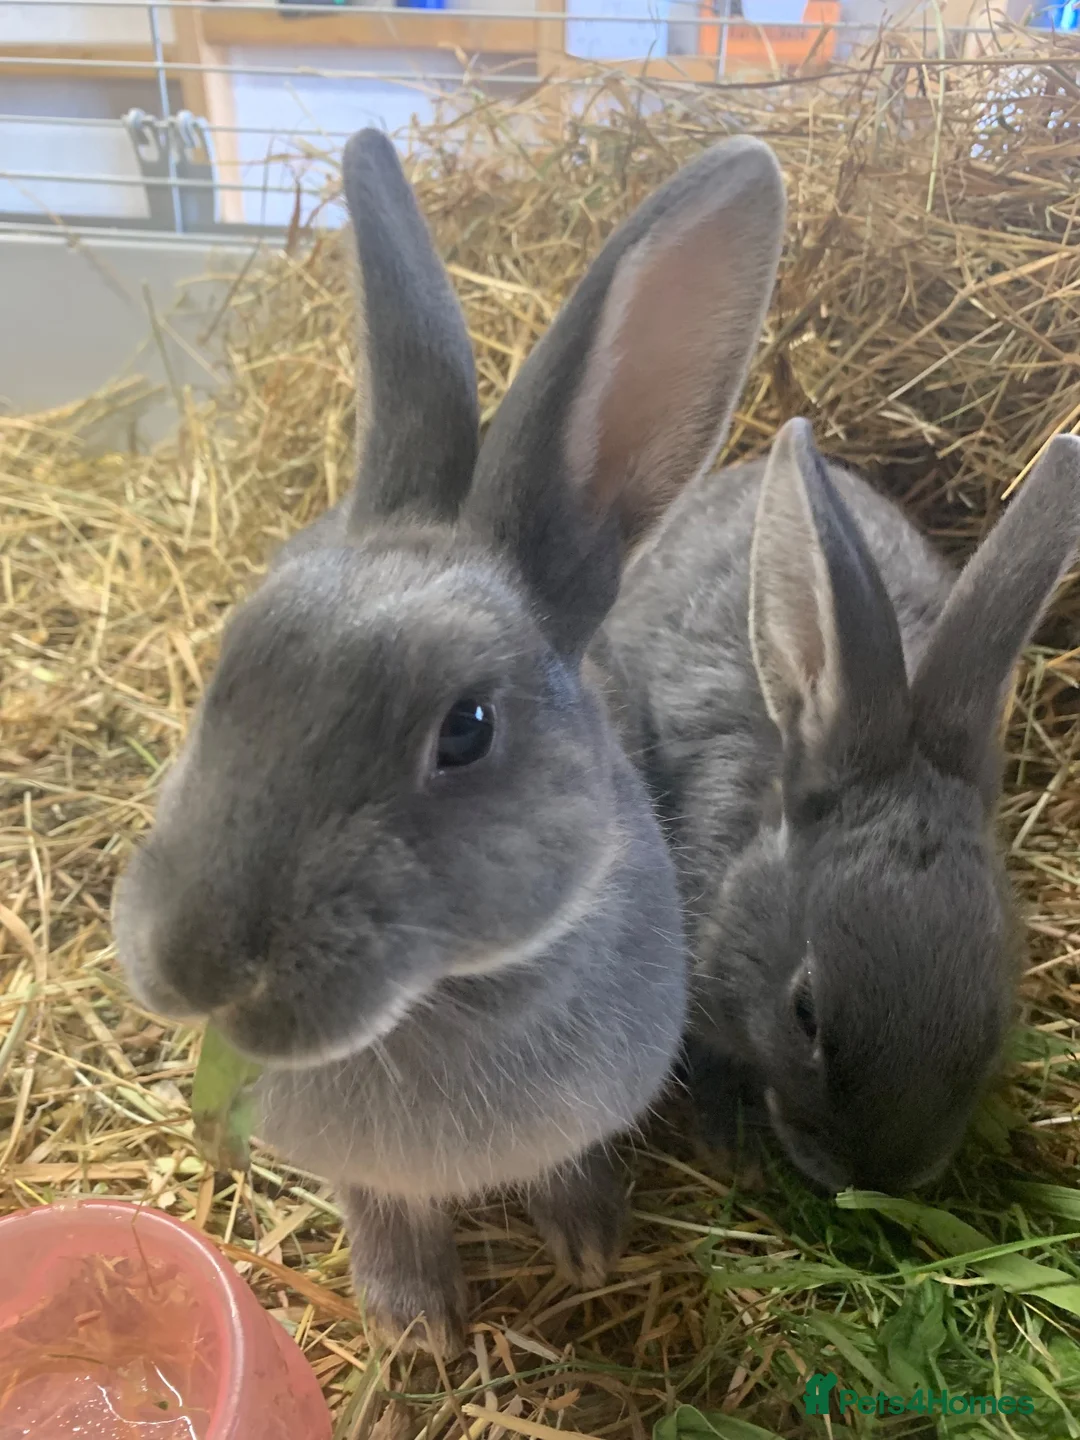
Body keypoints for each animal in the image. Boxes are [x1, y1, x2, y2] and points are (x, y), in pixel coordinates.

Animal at [111, 127, 788, 1352]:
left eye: (465, 731)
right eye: (229, 668)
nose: (195, 967)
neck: (446, 999)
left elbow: (568, 1167)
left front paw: (588, 1250)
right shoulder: (361, 1171)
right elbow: (383, 1208)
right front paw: (415, 1322)